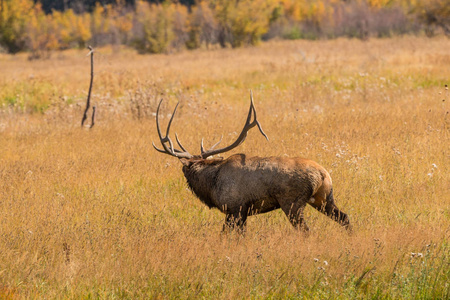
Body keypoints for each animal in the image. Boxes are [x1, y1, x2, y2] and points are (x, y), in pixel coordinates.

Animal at [155, 94, 352, 232]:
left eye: (186, 168)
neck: (211, 184)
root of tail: (323, 174)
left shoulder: (235, 208)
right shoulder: (241, 212)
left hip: (292, 203)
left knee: (306, 230)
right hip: (324, 198)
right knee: (345, 218)